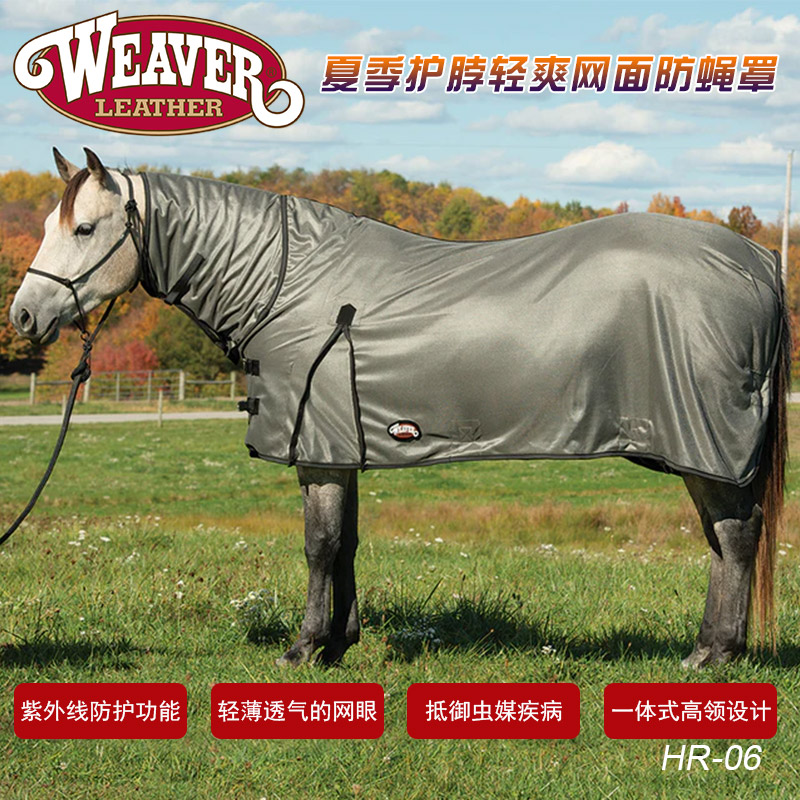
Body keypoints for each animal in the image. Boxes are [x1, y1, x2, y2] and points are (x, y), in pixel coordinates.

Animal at [9, 148, 789, 669]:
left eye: (85, 230)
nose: (22, 315)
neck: (287, 281)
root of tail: (757, 260)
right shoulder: (337, 447)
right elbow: (346, 542)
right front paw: (338, 645)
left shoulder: (318, 449)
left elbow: (319, 546)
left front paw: (302, 649)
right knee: (723, 539)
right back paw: (710, 649)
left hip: (706, 446)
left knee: (736, 536)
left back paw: (713, 656)